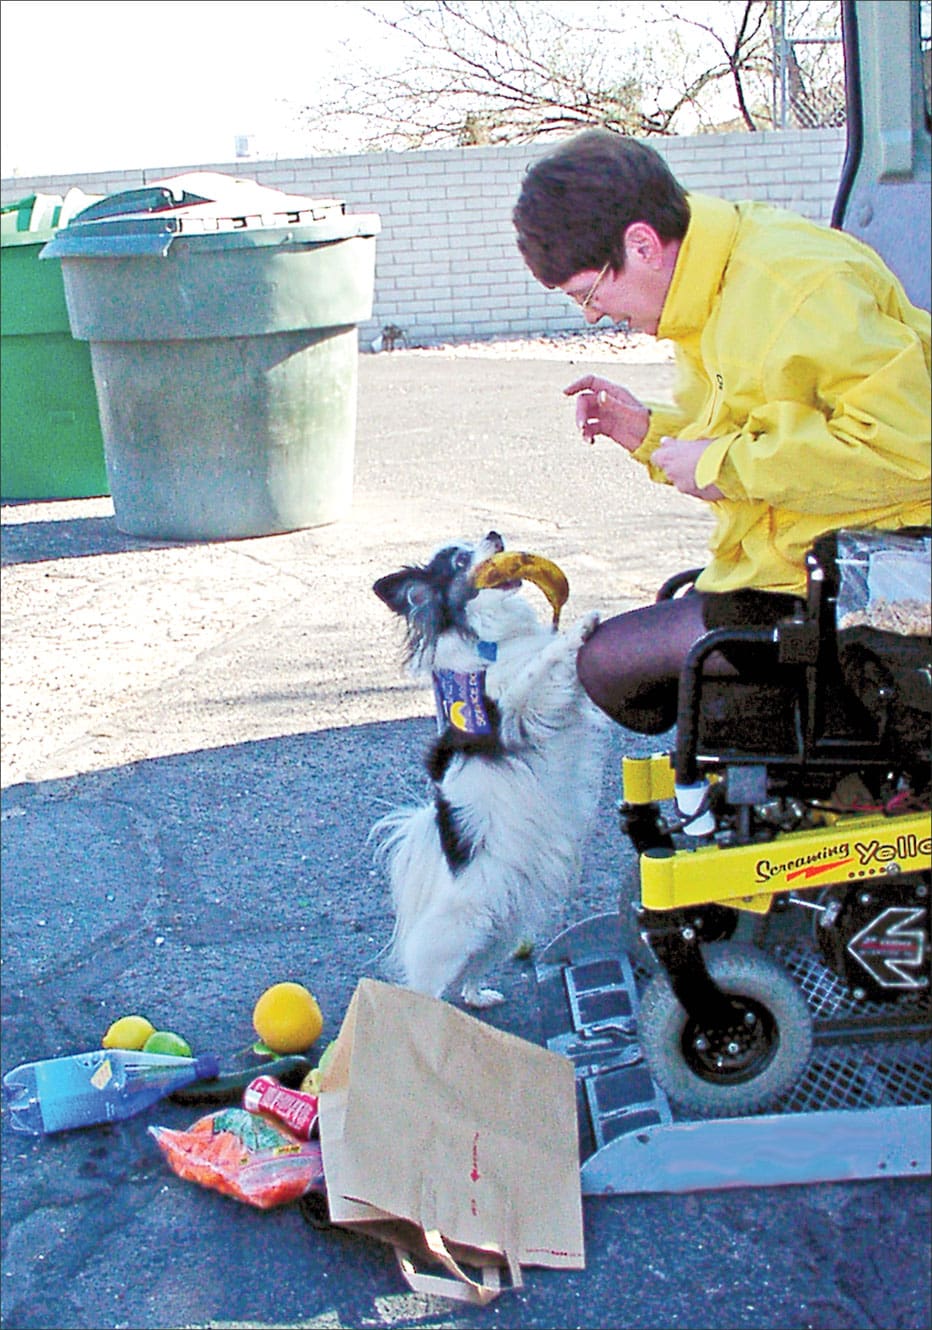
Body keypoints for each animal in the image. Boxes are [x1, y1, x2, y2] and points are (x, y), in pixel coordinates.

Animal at [369, 532, 611, 1005]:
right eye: (461, 561)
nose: (495, 535)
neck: (493, 639)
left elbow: (560, 676)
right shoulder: (515, 707)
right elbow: (540, 666)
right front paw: (578, 630)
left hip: (501, 929)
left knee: (468, 973)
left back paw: (477, 997)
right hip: (462, 930)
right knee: (427, 981)